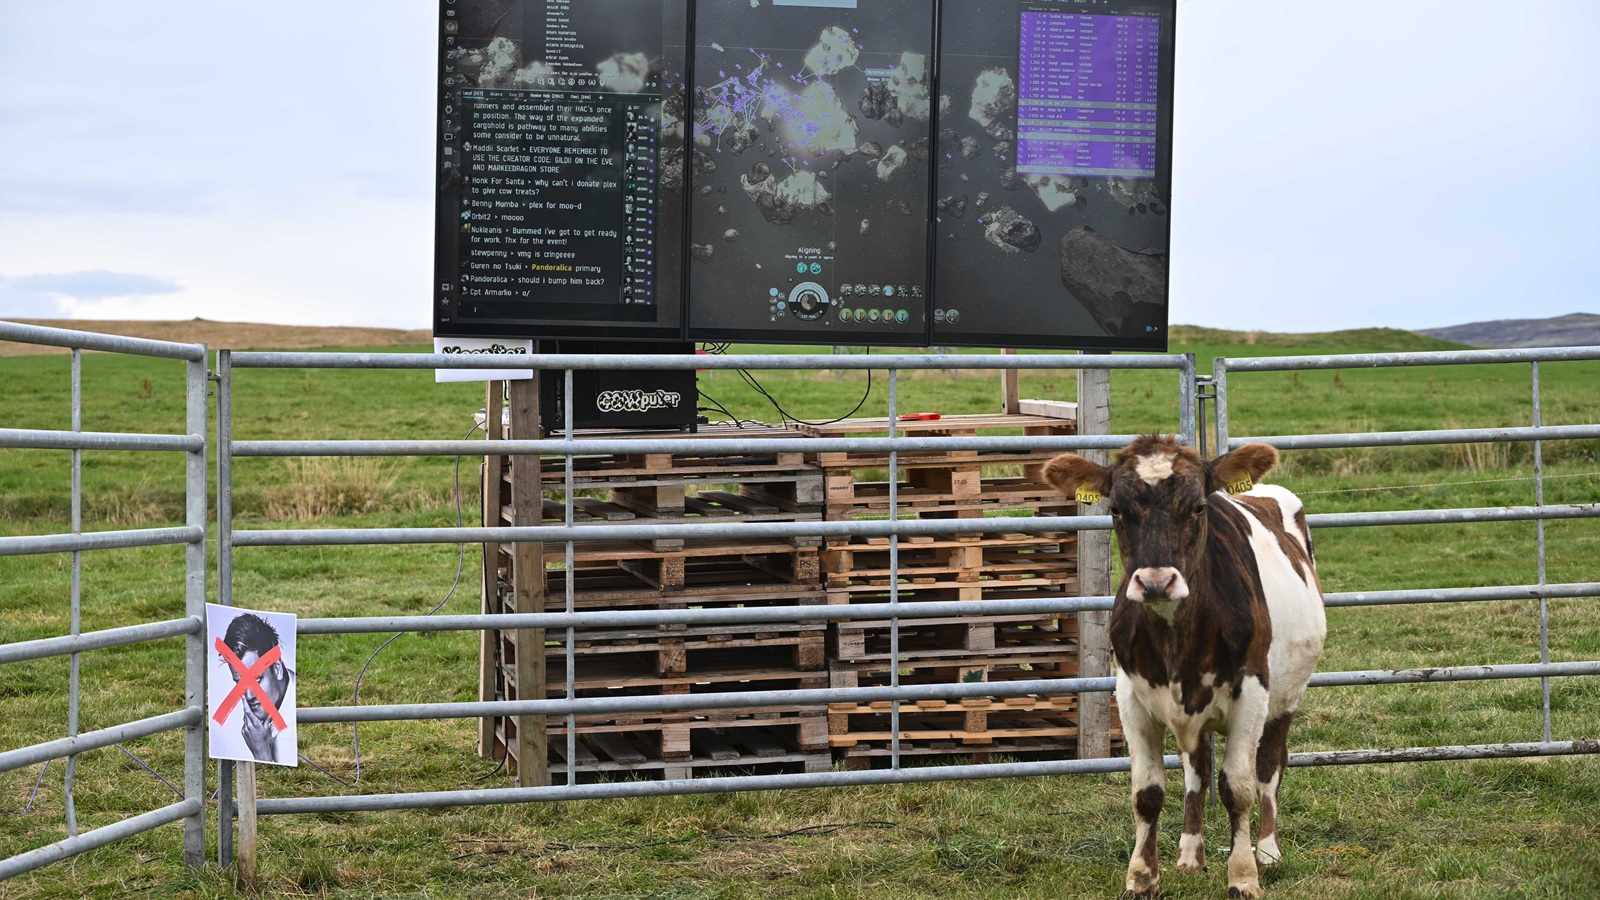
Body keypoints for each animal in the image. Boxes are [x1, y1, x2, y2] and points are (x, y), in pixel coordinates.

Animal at [1045, 435, 1326, 900]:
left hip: (1286, 697)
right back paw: (1191, 854)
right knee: (1197, 767)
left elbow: (1239, 788)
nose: (1156, 582)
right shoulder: (1131, 697)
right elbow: (1148, 793)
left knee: (1269, 766)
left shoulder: (1252, 694)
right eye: (1115, 508)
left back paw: (1268, 851)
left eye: (1197, 507)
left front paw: (1243, 876)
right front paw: (1141, 878)